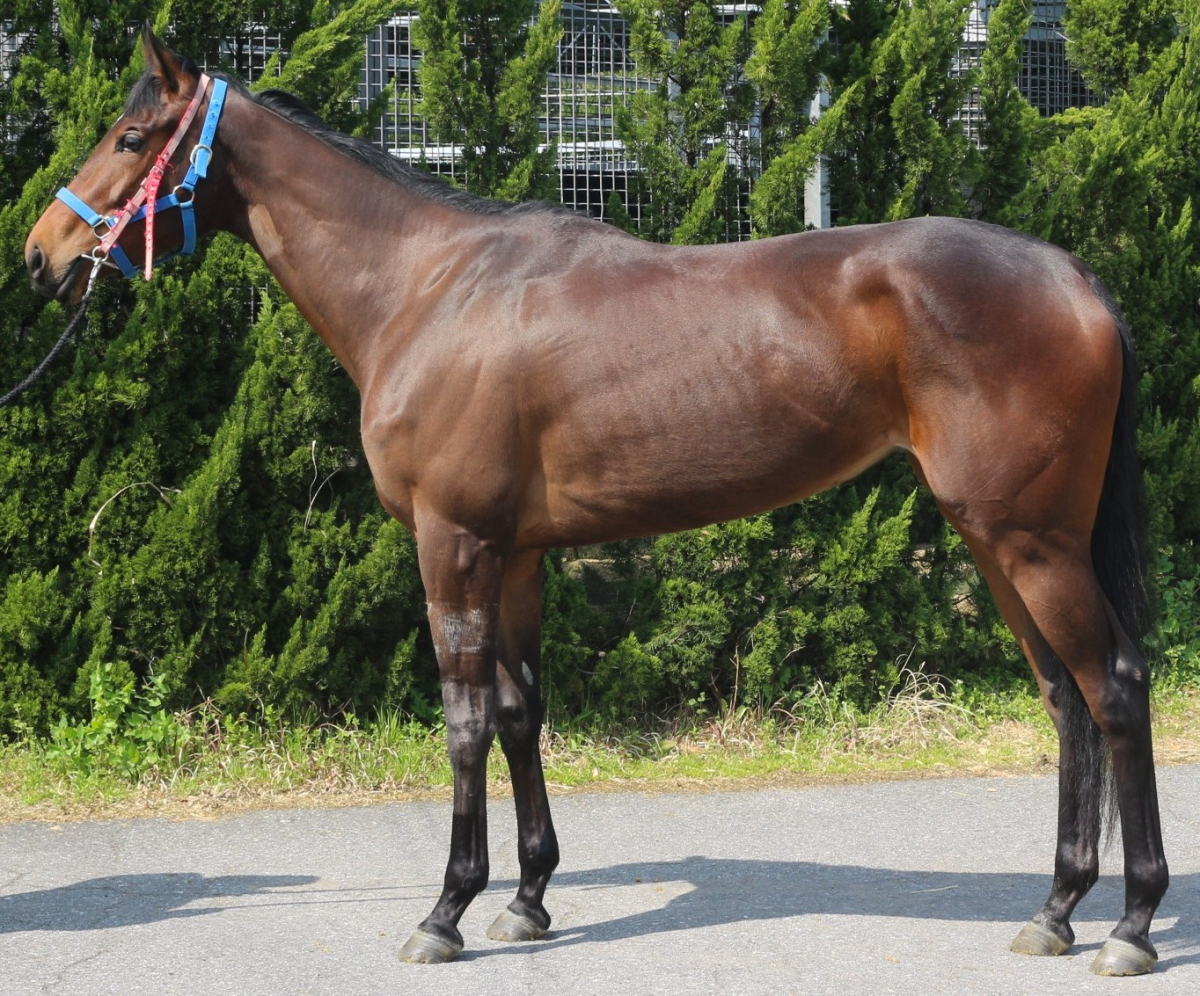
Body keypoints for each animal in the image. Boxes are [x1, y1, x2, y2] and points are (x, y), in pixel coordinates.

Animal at [25, 28, 1167, 976]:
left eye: (132, 136)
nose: (42, 254)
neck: (428, 289)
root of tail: (1073, 276)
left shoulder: (453, 544)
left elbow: (464, 721)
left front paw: (445, 910)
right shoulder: (517, 553)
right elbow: (522, 712)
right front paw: (527, 898)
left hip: (1031, 540)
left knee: (1112, 686)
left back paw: (1131, 925)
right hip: (999, 539)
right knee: (1065, 697)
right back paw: (1056, 911)